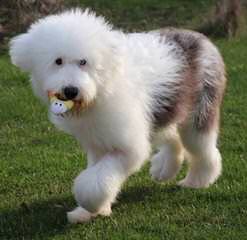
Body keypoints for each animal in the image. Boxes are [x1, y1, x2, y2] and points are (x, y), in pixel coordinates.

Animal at [9, 8, 226, 223]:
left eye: (83, 62)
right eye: (58, 61)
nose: (71, 90)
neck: (100, 90)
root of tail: (201, 38)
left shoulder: (128, 147)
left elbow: (97, 178)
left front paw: (89, 202)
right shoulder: (97, 143)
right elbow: (98, 172)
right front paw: (87, 213)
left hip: (200, 111)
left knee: (203, 149)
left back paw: (197, 180)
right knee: (173, 137)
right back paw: (164, 168)